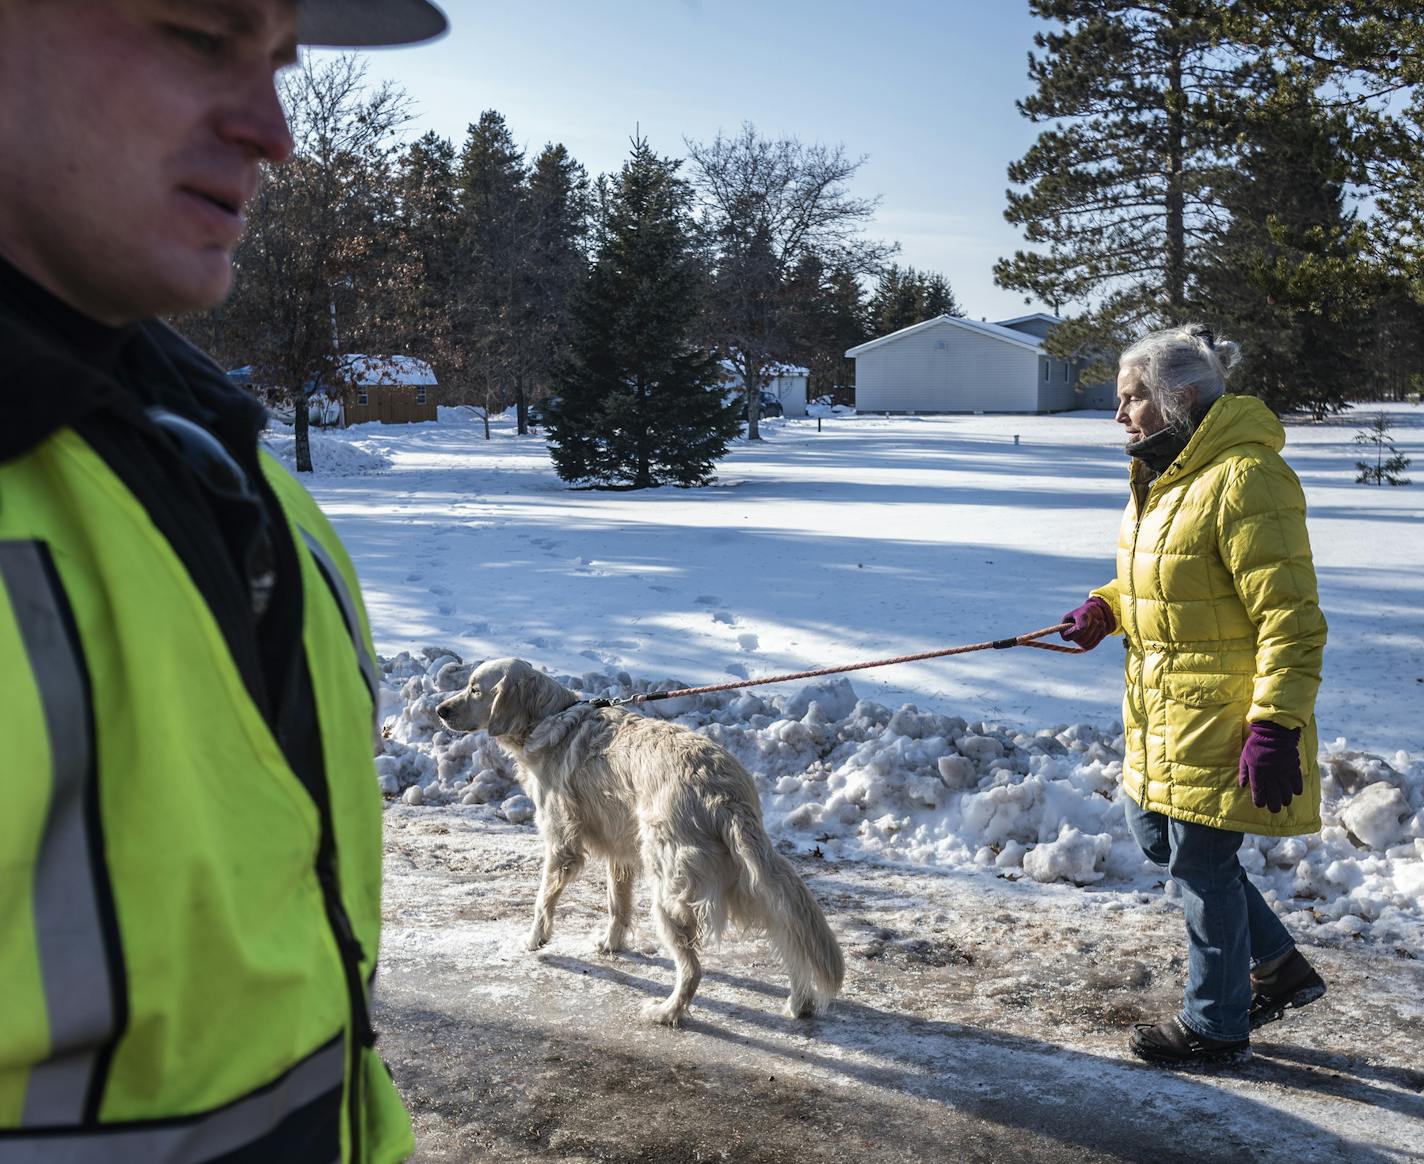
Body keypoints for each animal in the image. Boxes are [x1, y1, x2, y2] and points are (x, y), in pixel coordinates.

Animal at [432, 658, 843, 1020]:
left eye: (475, 689)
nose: (440, 709)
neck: (549, 719)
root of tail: (722, 794)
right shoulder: (621, 852)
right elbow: (617, 905)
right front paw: (611, 945)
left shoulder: (562, 845)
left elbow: (542, 902)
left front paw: (535, 941)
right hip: (744, 878)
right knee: (786, 931)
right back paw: (801, 1002)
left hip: (671, 893)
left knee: (693, 969)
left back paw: (667, 1013)